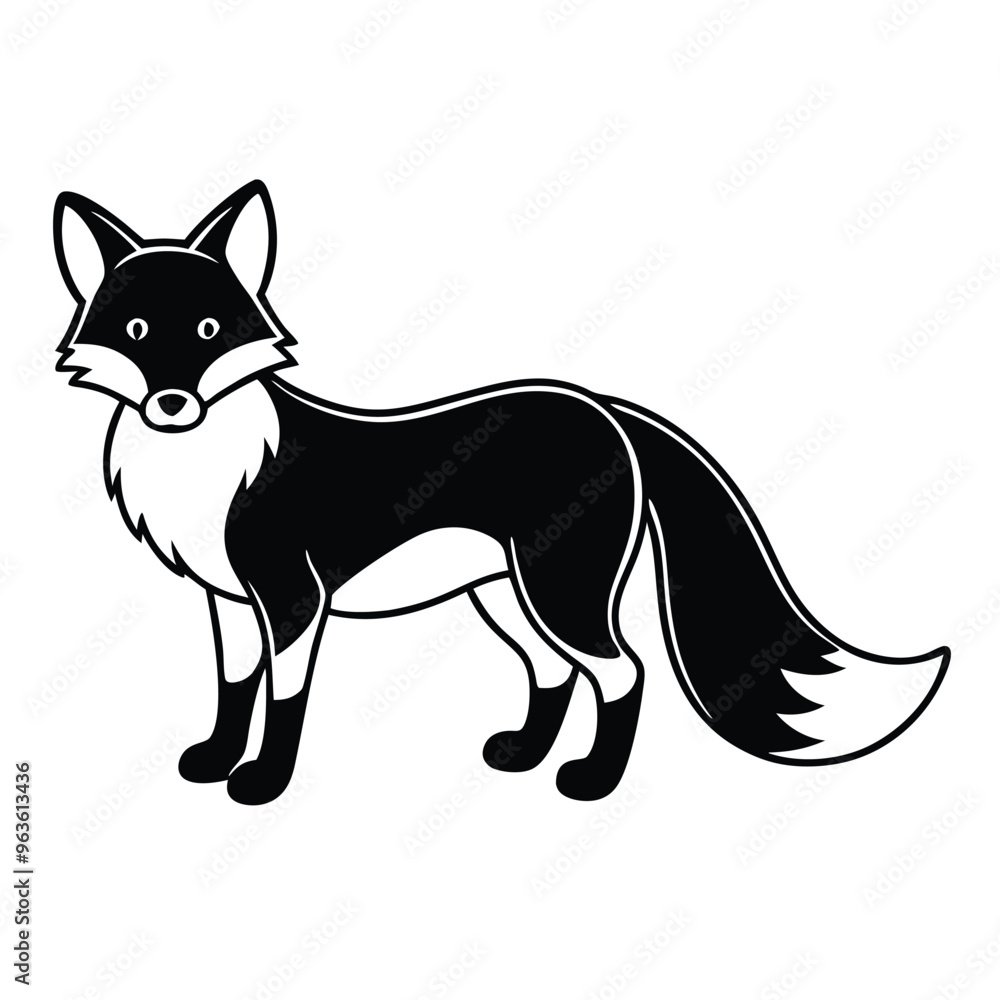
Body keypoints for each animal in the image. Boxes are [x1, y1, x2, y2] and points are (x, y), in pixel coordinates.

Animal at [53, 180, 949, 806]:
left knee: (623, 673)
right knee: (555, 674)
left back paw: (591, 781)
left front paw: (263, 784)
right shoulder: (233, 604)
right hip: (507, 596)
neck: (206, 466)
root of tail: (603, 407)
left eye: (210, 332)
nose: (173, 405)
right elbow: (233, 689)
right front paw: (212, 761)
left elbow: (283, 700)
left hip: (560, 591)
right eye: (135, 332)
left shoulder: (293, 601)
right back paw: (523, 755)